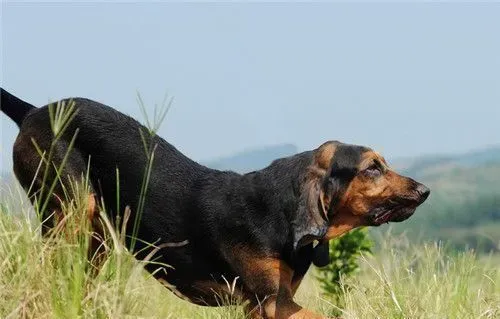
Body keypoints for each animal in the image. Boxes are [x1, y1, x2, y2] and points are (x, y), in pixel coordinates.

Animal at [0, 88, 430, 319]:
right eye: (373, 167)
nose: (424, 191)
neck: (281, 212)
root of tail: (32, 111)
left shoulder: (269, 304)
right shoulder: (271, 305)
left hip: (98, 235)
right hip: (72, 215)